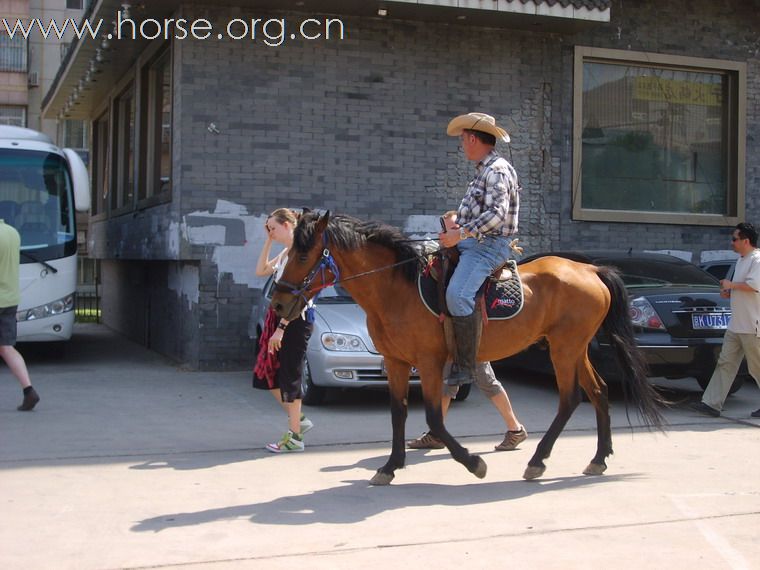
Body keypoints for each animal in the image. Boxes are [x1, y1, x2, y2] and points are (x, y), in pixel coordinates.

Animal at [274, 212, 664, 484]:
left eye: (304, 254)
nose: (278, 303)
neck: (395, 289)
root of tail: (591, 270)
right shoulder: (396, 361)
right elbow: (398, 413)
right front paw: (390, 465)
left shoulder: (430, 363)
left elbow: (434, 415)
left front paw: (473, 462)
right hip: (574, 347)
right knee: (599, 391)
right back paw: (598, 458)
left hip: (564, 349)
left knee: (570, 399)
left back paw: (537, 460)